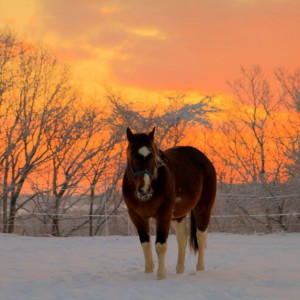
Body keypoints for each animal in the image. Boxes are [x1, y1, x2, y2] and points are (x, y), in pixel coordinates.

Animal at [122, 127, 216, 278]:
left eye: (153, 156)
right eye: (132, 155)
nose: (144, 189)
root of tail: (204, 160)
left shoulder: (164, 214)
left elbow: (160, 245)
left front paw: (161, 275)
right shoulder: (137, 216)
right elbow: (146, 243)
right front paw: (148, 271)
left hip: (203, 207)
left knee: (201, 236)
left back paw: (200, 269)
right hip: (178, 215)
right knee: (182, 239)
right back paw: (179, 270)